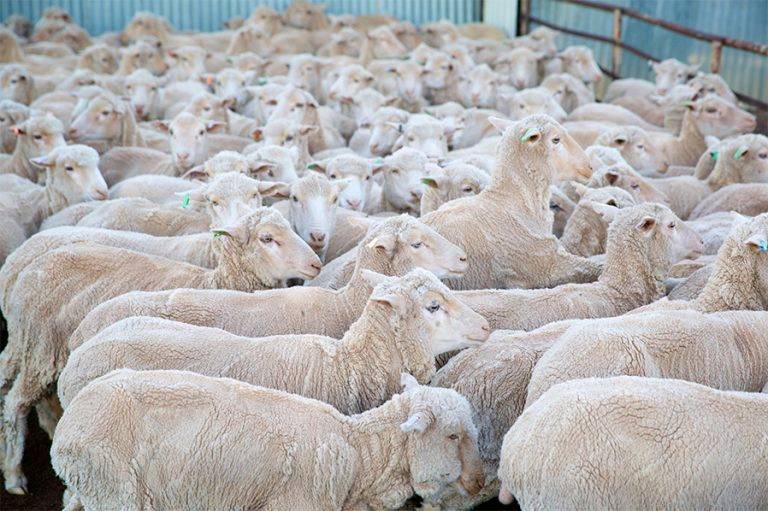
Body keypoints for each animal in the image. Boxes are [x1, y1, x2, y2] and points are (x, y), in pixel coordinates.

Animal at [0, 207, 321, 493]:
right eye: (267, 238)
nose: (317, 264)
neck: (214, 282)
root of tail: (22, 267)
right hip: (42, 345)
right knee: (17, 402)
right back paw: (15, 477)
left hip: (27, 342)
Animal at [52, 369, 484, 510]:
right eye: (452, 435)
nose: (480, 480)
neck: (359, 457)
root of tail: (67, 425)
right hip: (116, 489)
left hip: (89, 487)